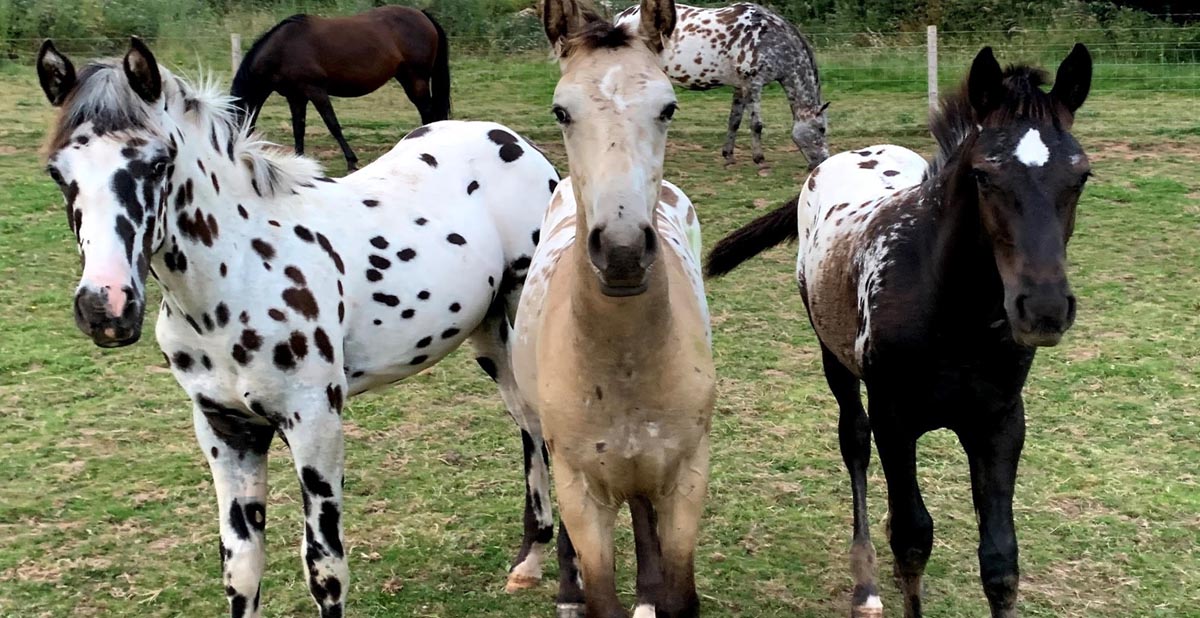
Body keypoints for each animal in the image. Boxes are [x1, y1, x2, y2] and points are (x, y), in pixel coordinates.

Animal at [38, 37, 561, 618]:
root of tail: (511, 139)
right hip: (488, 333)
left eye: (156, 163)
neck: (236, 277)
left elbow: (325, 568)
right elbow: (241, 567)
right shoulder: (225, 429)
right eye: (58, 172)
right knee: (526, 420)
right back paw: (530, 559)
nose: (105, 307)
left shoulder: (313, 420)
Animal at [229, 6, 451, 172]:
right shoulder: (296, 96)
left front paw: (351, 161)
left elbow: (333, 125)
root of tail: (422, 15)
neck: (283, 48)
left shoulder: (316, 90)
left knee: (428, 112)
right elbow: (298, 128)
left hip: (416, 79)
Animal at [513, 1, 710, 618]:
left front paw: (654, 595)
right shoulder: (581, 489)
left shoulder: (685, 477)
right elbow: (601, 592)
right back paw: (566, 592)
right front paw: (580, 593)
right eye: (561, 110)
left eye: (668, 107)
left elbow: (679, 593)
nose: (622, 252)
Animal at [614, 1, 830, 170]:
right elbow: (756, 125)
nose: (822, 161)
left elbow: (734, 121)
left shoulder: (741, 86)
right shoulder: (754, 83)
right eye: (821, 129)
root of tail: (623, 16)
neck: (771, 38)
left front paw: (729, 156)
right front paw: (760, 160)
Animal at [705, 44, 1094, 618]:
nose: (1043, 309)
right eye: (983, 175)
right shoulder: (895, 417)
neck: (954, 318)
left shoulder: (1001, 422)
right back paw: (865, 580)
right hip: (835, 360)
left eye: (1081, 176)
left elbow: (1000, 561)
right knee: (854, 444)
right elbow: (913, 539)